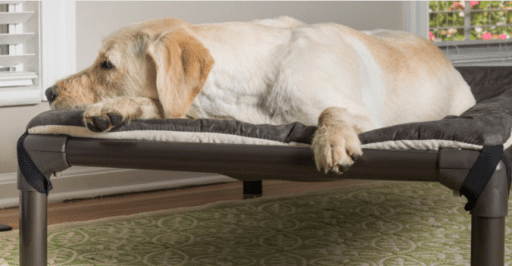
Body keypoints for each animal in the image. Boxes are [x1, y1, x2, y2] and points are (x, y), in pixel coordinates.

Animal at [44, 16, 476, 175]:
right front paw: (116, 108)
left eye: (107, 65)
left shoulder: (368, 116)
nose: (48, 91)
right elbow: (163, 105)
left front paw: (331, 141)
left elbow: (331, 111)